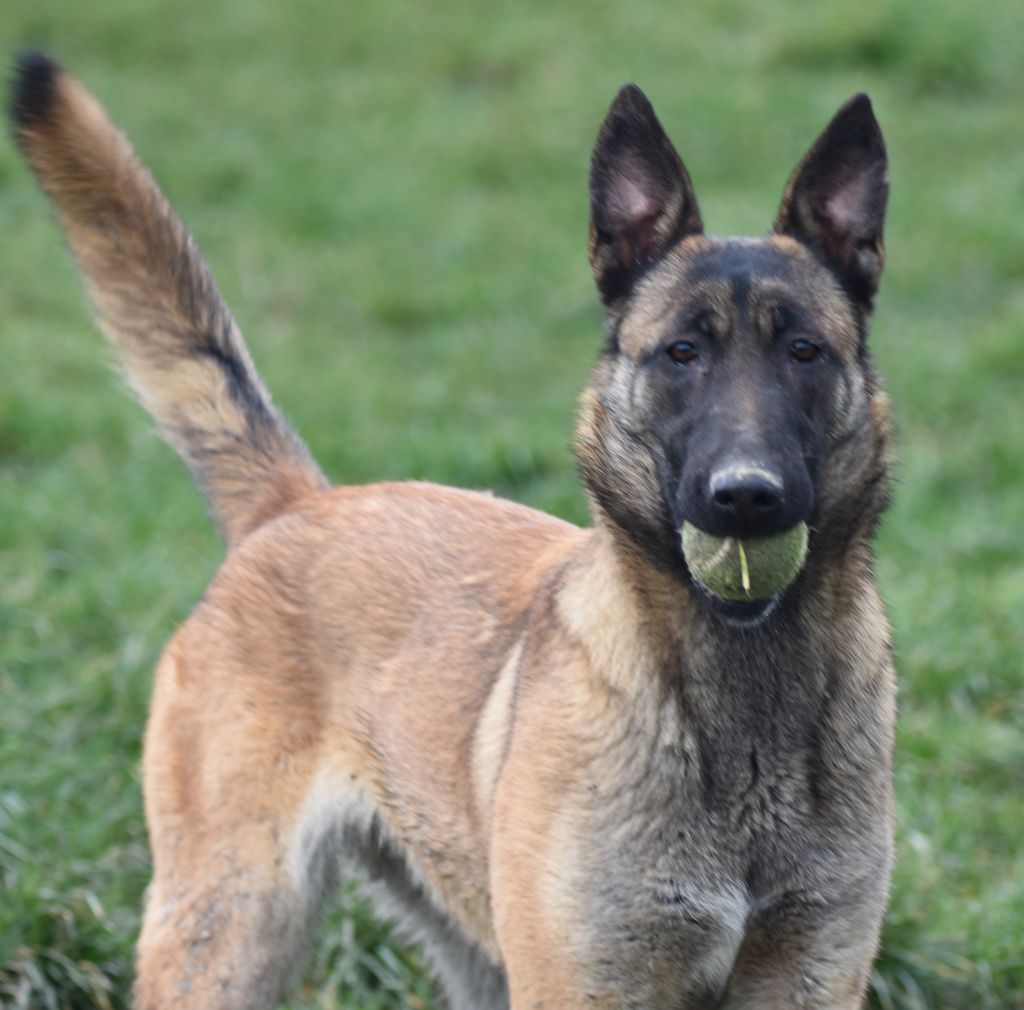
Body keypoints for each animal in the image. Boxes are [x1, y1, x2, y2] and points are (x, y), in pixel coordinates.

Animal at [14, 53, 897, 1007]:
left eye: (804, 352)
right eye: (681, 354)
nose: (745, 498)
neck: (740, 709)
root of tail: (298, 505)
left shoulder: (809, 972)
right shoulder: (585, 982)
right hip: (231, 929)